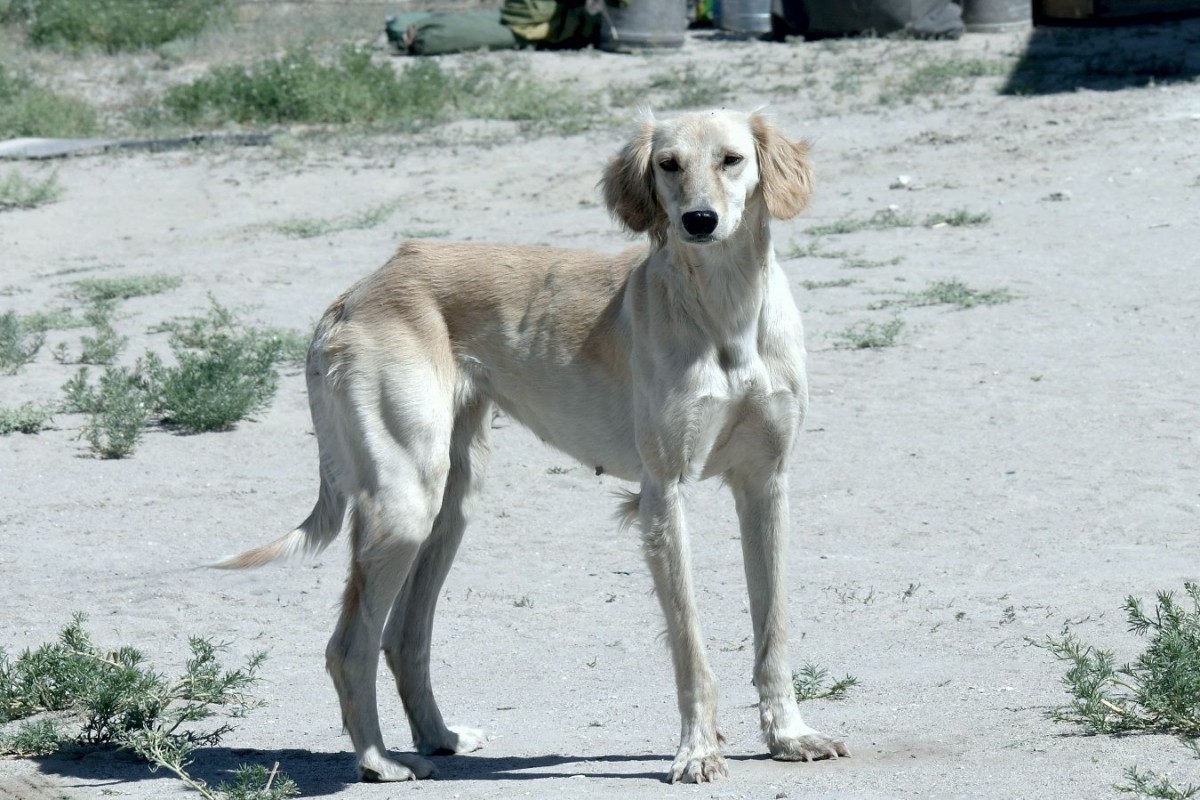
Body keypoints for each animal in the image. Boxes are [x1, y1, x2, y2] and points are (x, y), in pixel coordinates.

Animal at [220, 106, 849, 782]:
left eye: (732, 160)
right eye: (668, 164)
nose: (698, 221)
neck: (726, 314)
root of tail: (361, 287)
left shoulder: (765, 485)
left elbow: (774, 629)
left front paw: (789, 735)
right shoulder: (664, 496)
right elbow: (691, 646)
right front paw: (697, 751)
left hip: (451, 507)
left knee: (403, 638)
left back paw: (439, 736)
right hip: (405, 503)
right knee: (348, 646)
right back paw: (378, 761)